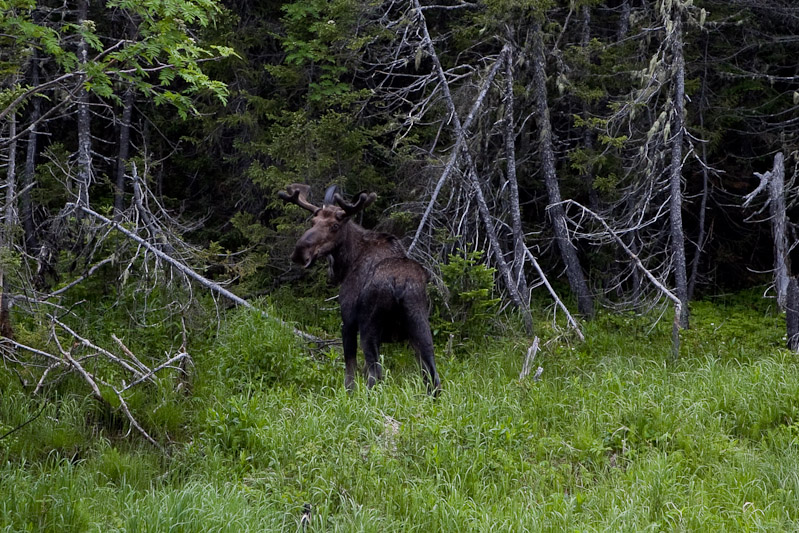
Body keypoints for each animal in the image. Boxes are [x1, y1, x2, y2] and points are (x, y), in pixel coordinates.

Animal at [280, 183, 444, 394]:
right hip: (420, 324)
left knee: (376, 373)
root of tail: (399, 283)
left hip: (369, 326)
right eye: (313, 221)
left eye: (335, 226)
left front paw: (347, 395)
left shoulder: (348, 321)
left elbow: (350, 371)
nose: (300, 252)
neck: (348, 262)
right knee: (432, 376)